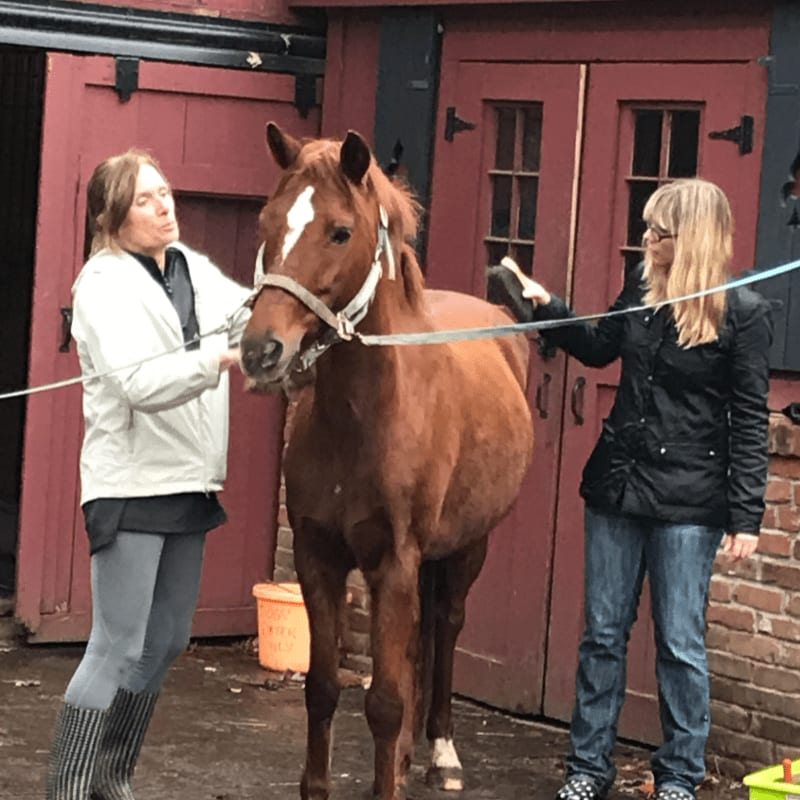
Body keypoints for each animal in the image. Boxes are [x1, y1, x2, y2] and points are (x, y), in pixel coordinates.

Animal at [240, 123, 534, 800]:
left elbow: (384, 701)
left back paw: (441, 755)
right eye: (268, 221)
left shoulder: (395, 563)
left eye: (340, 231)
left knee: (444, 628)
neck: (362, 420)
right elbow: (325, 690)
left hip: (465, 547)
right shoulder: (320, 559)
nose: (262, 350)